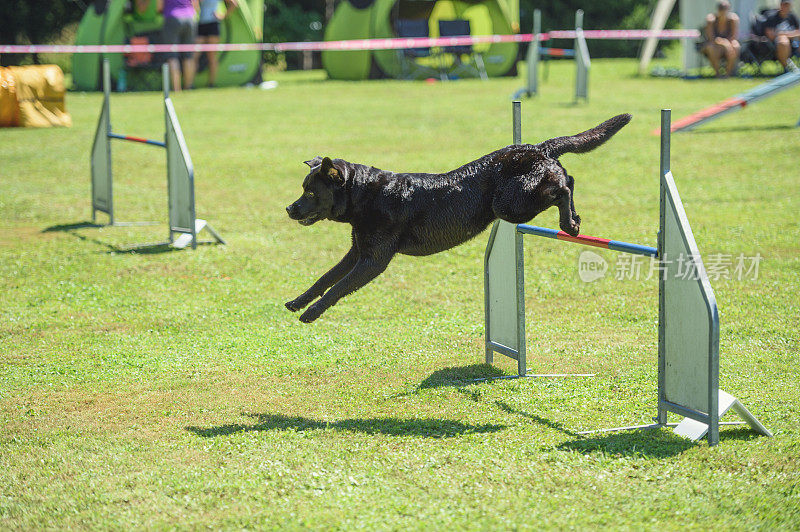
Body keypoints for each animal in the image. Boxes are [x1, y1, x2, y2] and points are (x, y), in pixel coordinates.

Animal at [284, 112, 628, 322]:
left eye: (311, 194)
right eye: (303, 189)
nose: (289, 208)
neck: (365, 195)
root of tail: (537, 147)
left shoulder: (373, 261)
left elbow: (338, 287)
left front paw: (311, 313)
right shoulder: (357, 252)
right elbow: (325, 278)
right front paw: (298, 302)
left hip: (510, 204)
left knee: (564, 186)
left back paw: (569, 223)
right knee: (567, 179)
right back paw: (572, 219)